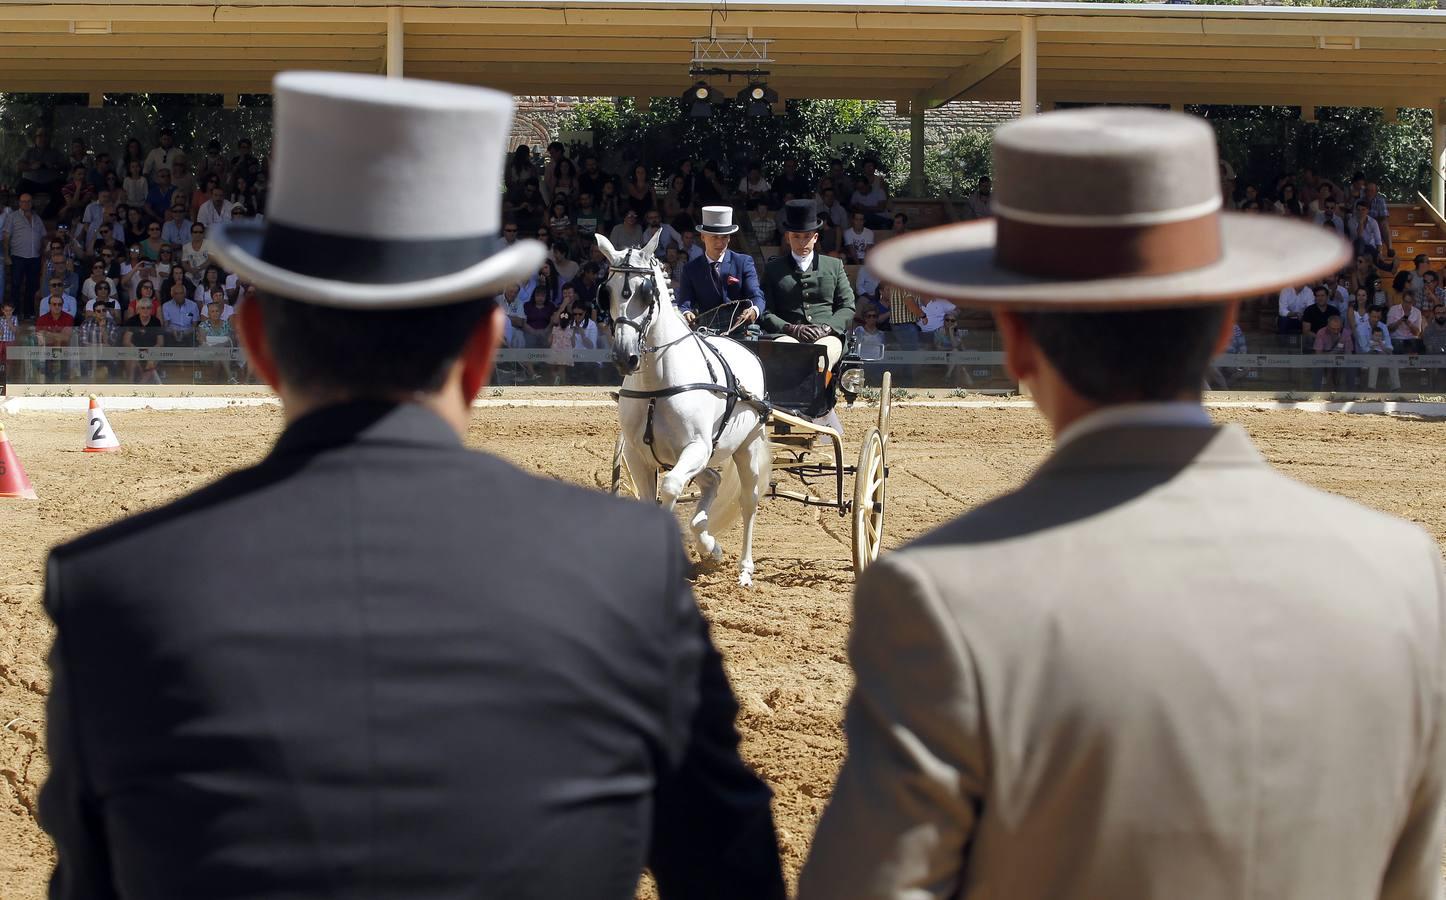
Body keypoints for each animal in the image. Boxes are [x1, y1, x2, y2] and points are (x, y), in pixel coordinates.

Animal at [595, 231, 775, 593]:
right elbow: (651, 498)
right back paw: (710, 547)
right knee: (713, 481)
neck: (657, 385)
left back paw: (744, 571)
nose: (624, 357)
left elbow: (670, 488)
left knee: (748, 501)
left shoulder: (696, 447)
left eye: (646, 292)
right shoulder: (636, 454)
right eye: (606, 291)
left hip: (745, 447)